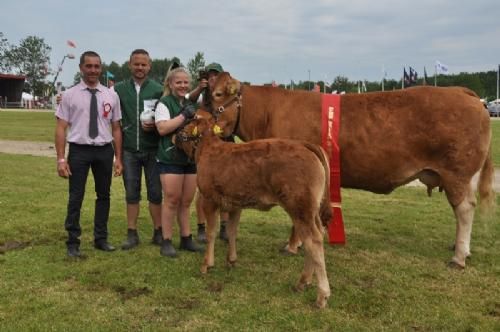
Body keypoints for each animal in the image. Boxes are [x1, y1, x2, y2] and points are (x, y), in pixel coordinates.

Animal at [174, 111, 334, 308]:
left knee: (313, 241)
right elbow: (232, 231)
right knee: (317, 236)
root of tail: (304, 144)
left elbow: (211, 233)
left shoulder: (209, 199)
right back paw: (304, 282)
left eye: (187, 123)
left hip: (299, 207)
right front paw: (231, 260)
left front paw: (206, 264)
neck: (208, 149)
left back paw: (321, 294)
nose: (176, 134)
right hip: (312, 211)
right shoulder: (235, 204)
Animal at [208, 72, 496, 268]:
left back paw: (459, 256)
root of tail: (461, 92)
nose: (199, 116)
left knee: (465, 209)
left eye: (218, 95)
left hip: (456, 173)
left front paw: (292, 246)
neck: (268, 114)